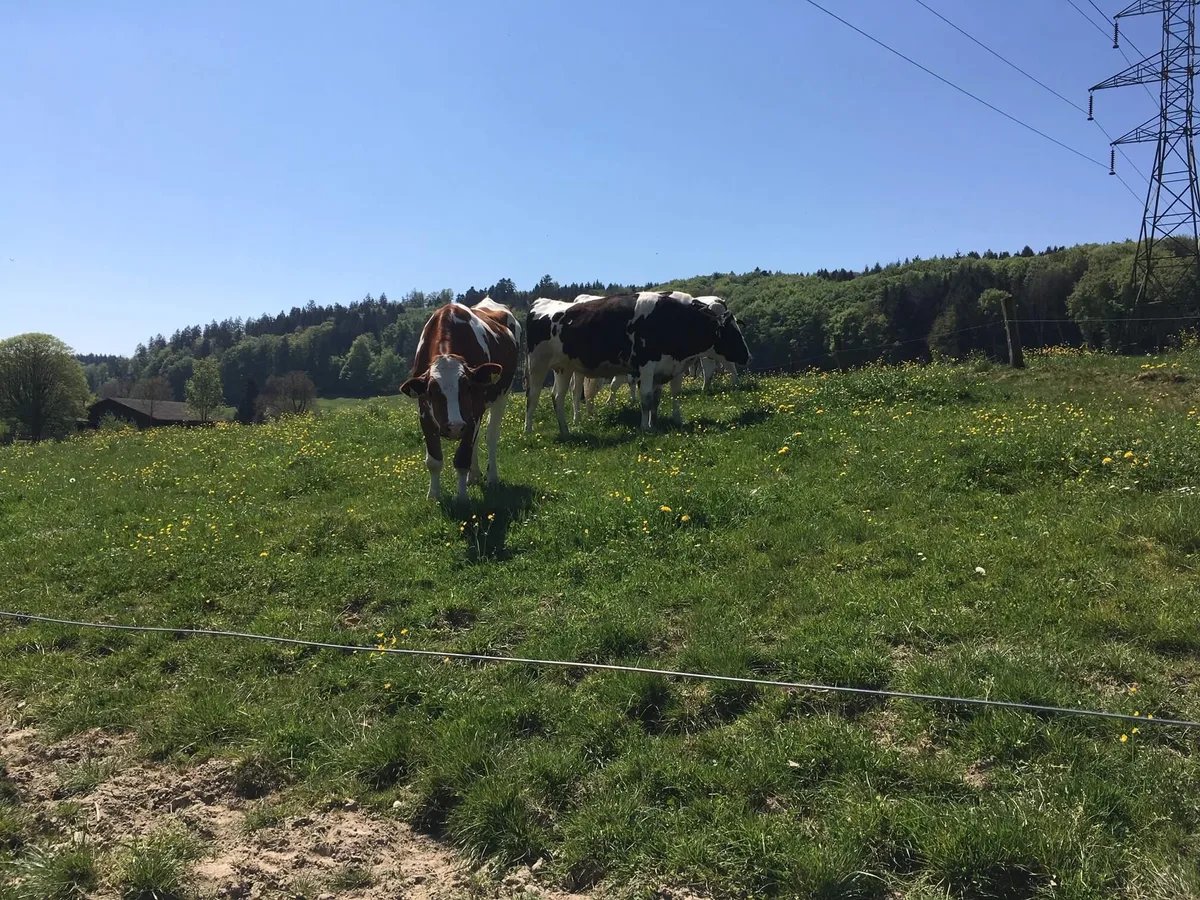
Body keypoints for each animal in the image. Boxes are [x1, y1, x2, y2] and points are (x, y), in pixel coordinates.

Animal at [400, 298, 520, 502]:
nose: (454, 426)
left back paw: (492, 477)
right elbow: (434, 460)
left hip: (503, 394)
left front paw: (462, 497)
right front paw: (433, 495)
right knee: (477, 439)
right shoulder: (424, 411)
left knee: (491, 435)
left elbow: (462, 457)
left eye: (468, 387)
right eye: (431, 391)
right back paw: (474, 475)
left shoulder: (474, 411)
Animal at [525, 290, 750, 435]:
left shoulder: (667, 367)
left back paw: (565, 430)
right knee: (533, 396)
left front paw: (657, 423)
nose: (748, 356)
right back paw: (528, 431)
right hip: (537, 364)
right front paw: (646, 428)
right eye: (732, 334)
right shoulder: (646, 366)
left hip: (563, 368)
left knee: (557, 397)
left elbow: (659, 399)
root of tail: (543, 303)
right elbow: (646, 399)